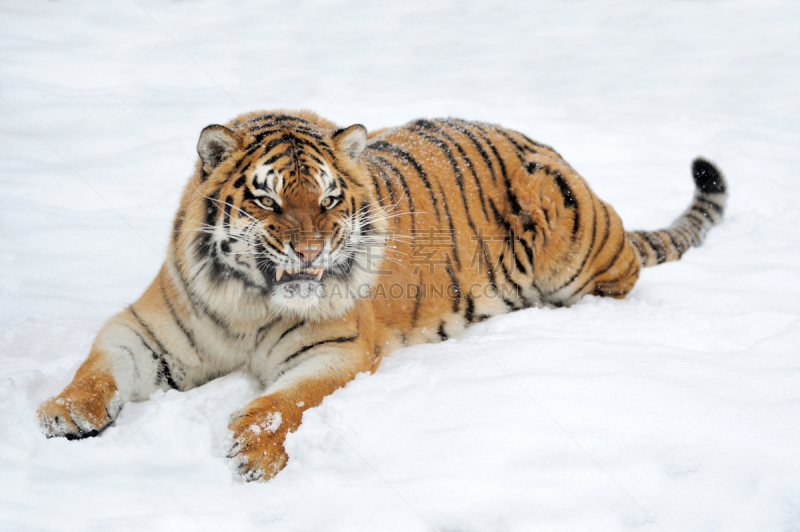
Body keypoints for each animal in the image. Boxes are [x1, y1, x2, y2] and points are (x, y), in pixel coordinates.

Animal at [36, 109, 724, 482]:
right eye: (268, 199)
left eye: (329, 199)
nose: (310, 252)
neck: (249, 302)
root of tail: (547, 148)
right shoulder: (144, 329)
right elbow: (98, 367)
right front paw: (65, 413)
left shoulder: (338, 349)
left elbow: (277, 404)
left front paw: (253, 455)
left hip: (577, 250)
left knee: (625, 276)